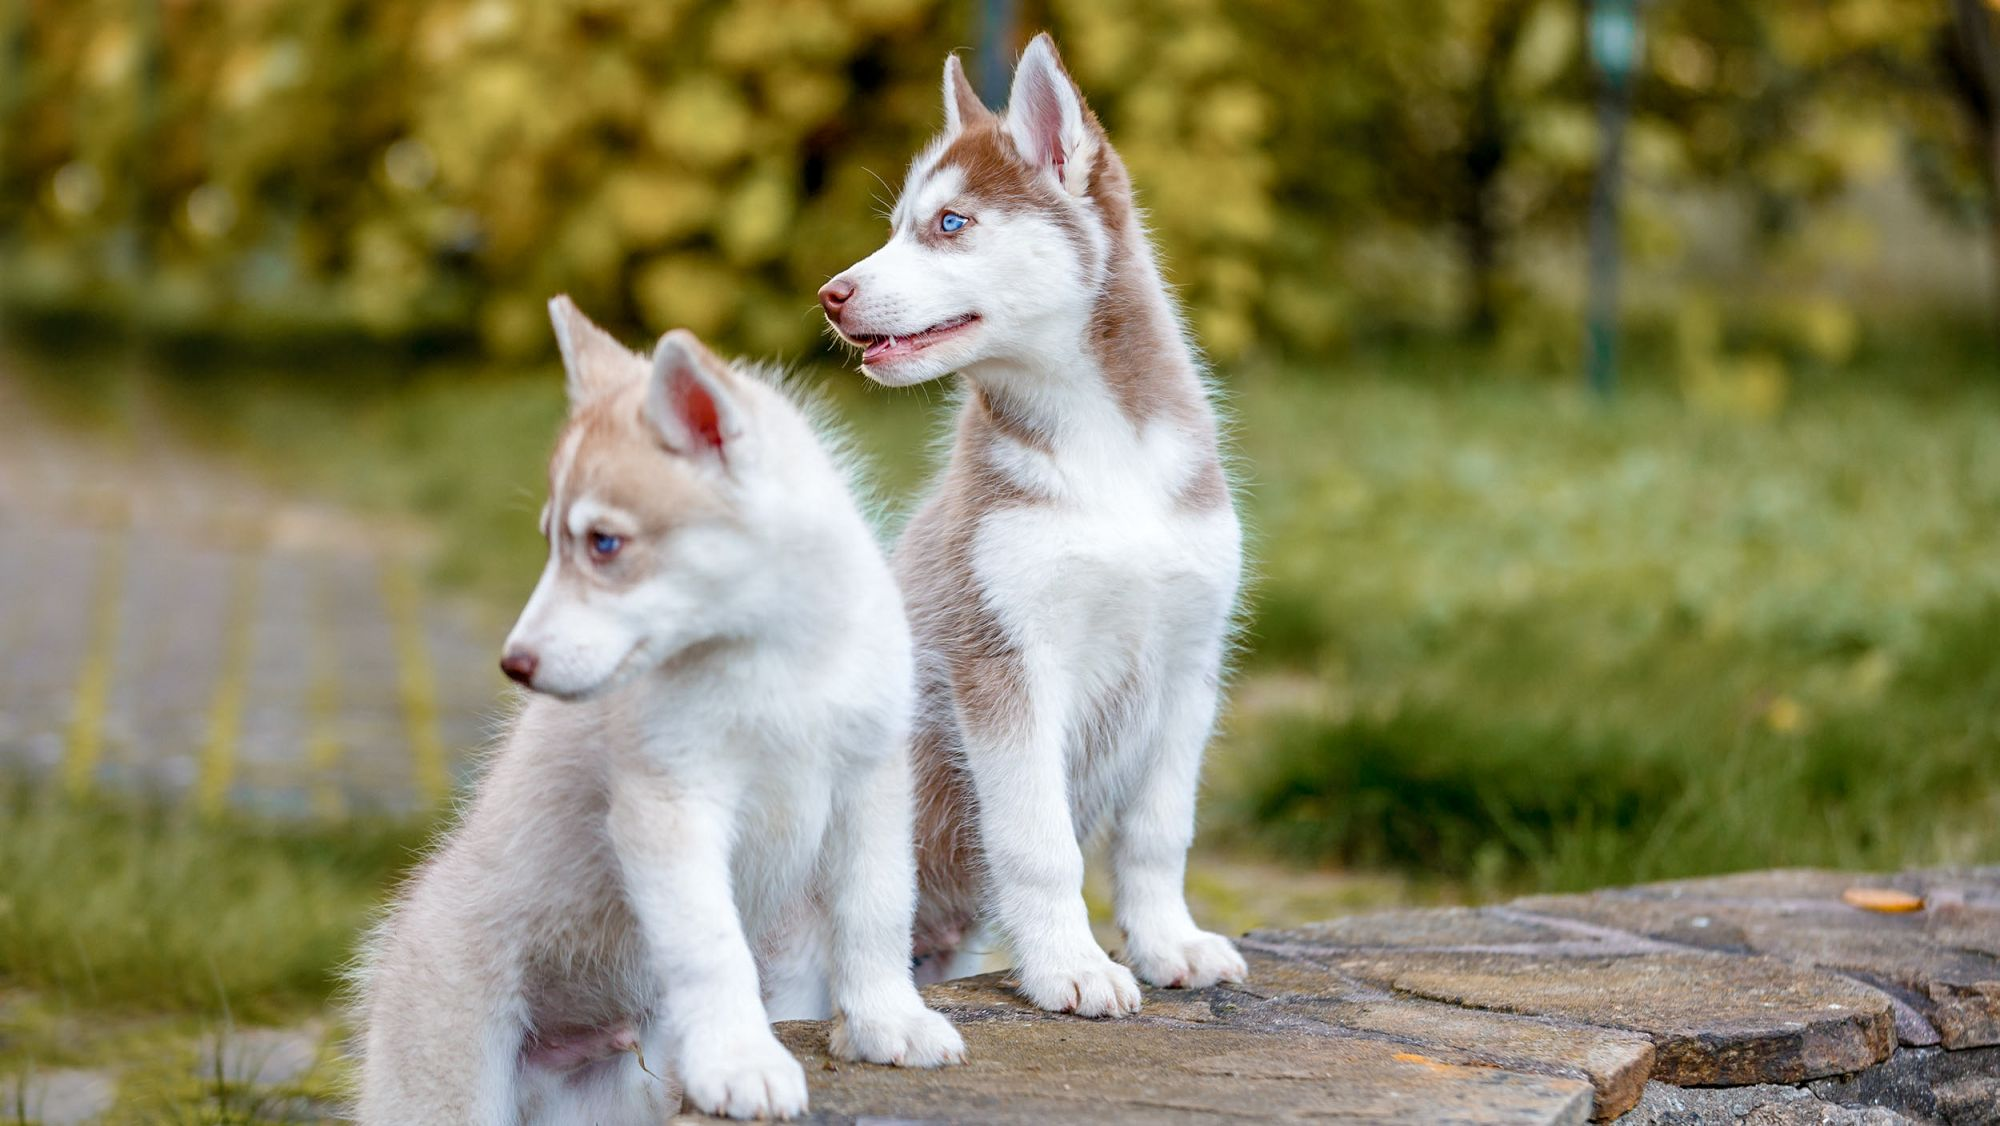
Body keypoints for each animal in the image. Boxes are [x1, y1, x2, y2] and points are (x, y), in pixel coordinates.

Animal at [358, 302, 968, 1126]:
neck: (781, 660)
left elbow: (876, 909)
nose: (514, 664)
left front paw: (888, 1023)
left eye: (604, 543)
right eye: (551, 542)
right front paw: (743, 1063)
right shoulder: (672, 807)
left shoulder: (870, 785)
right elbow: (712, 947)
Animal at [820, 37, 1240, 1024]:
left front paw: (1168, 943)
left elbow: (1160, 831)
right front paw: (1070, 966)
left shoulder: (1190, 660)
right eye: (898, 226)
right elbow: (1038, 840)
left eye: (950, 224)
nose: (831, 295)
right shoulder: (1002, 659)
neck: (1103, 456)